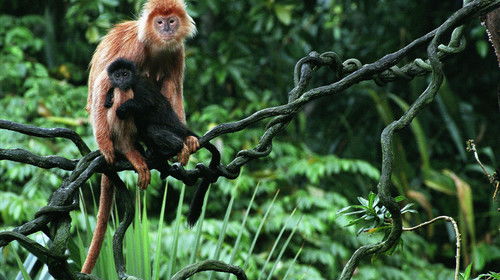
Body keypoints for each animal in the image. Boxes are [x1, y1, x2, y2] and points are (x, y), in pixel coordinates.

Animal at [82, 0, 197, 274]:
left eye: (171, 20)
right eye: (159, 22)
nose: (166, 28)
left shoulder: (176, 52)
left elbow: (174, 87)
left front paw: (185, 139)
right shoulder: (133, 49)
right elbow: (105, 81)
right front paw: (105, 145)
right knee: (121, 91)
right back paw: (128, 150)